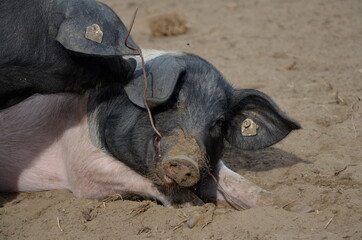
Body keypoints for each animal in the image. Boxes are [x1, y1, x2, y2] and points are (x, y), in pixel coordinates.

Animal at [0, 49, 300, 207]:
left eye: (218, 122)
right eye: (174, 100)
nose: (186, 161)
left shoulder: (209, 163)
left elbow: (238, 182)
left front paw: (289, 206)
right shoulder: (81, 165)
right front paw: (194, 207)